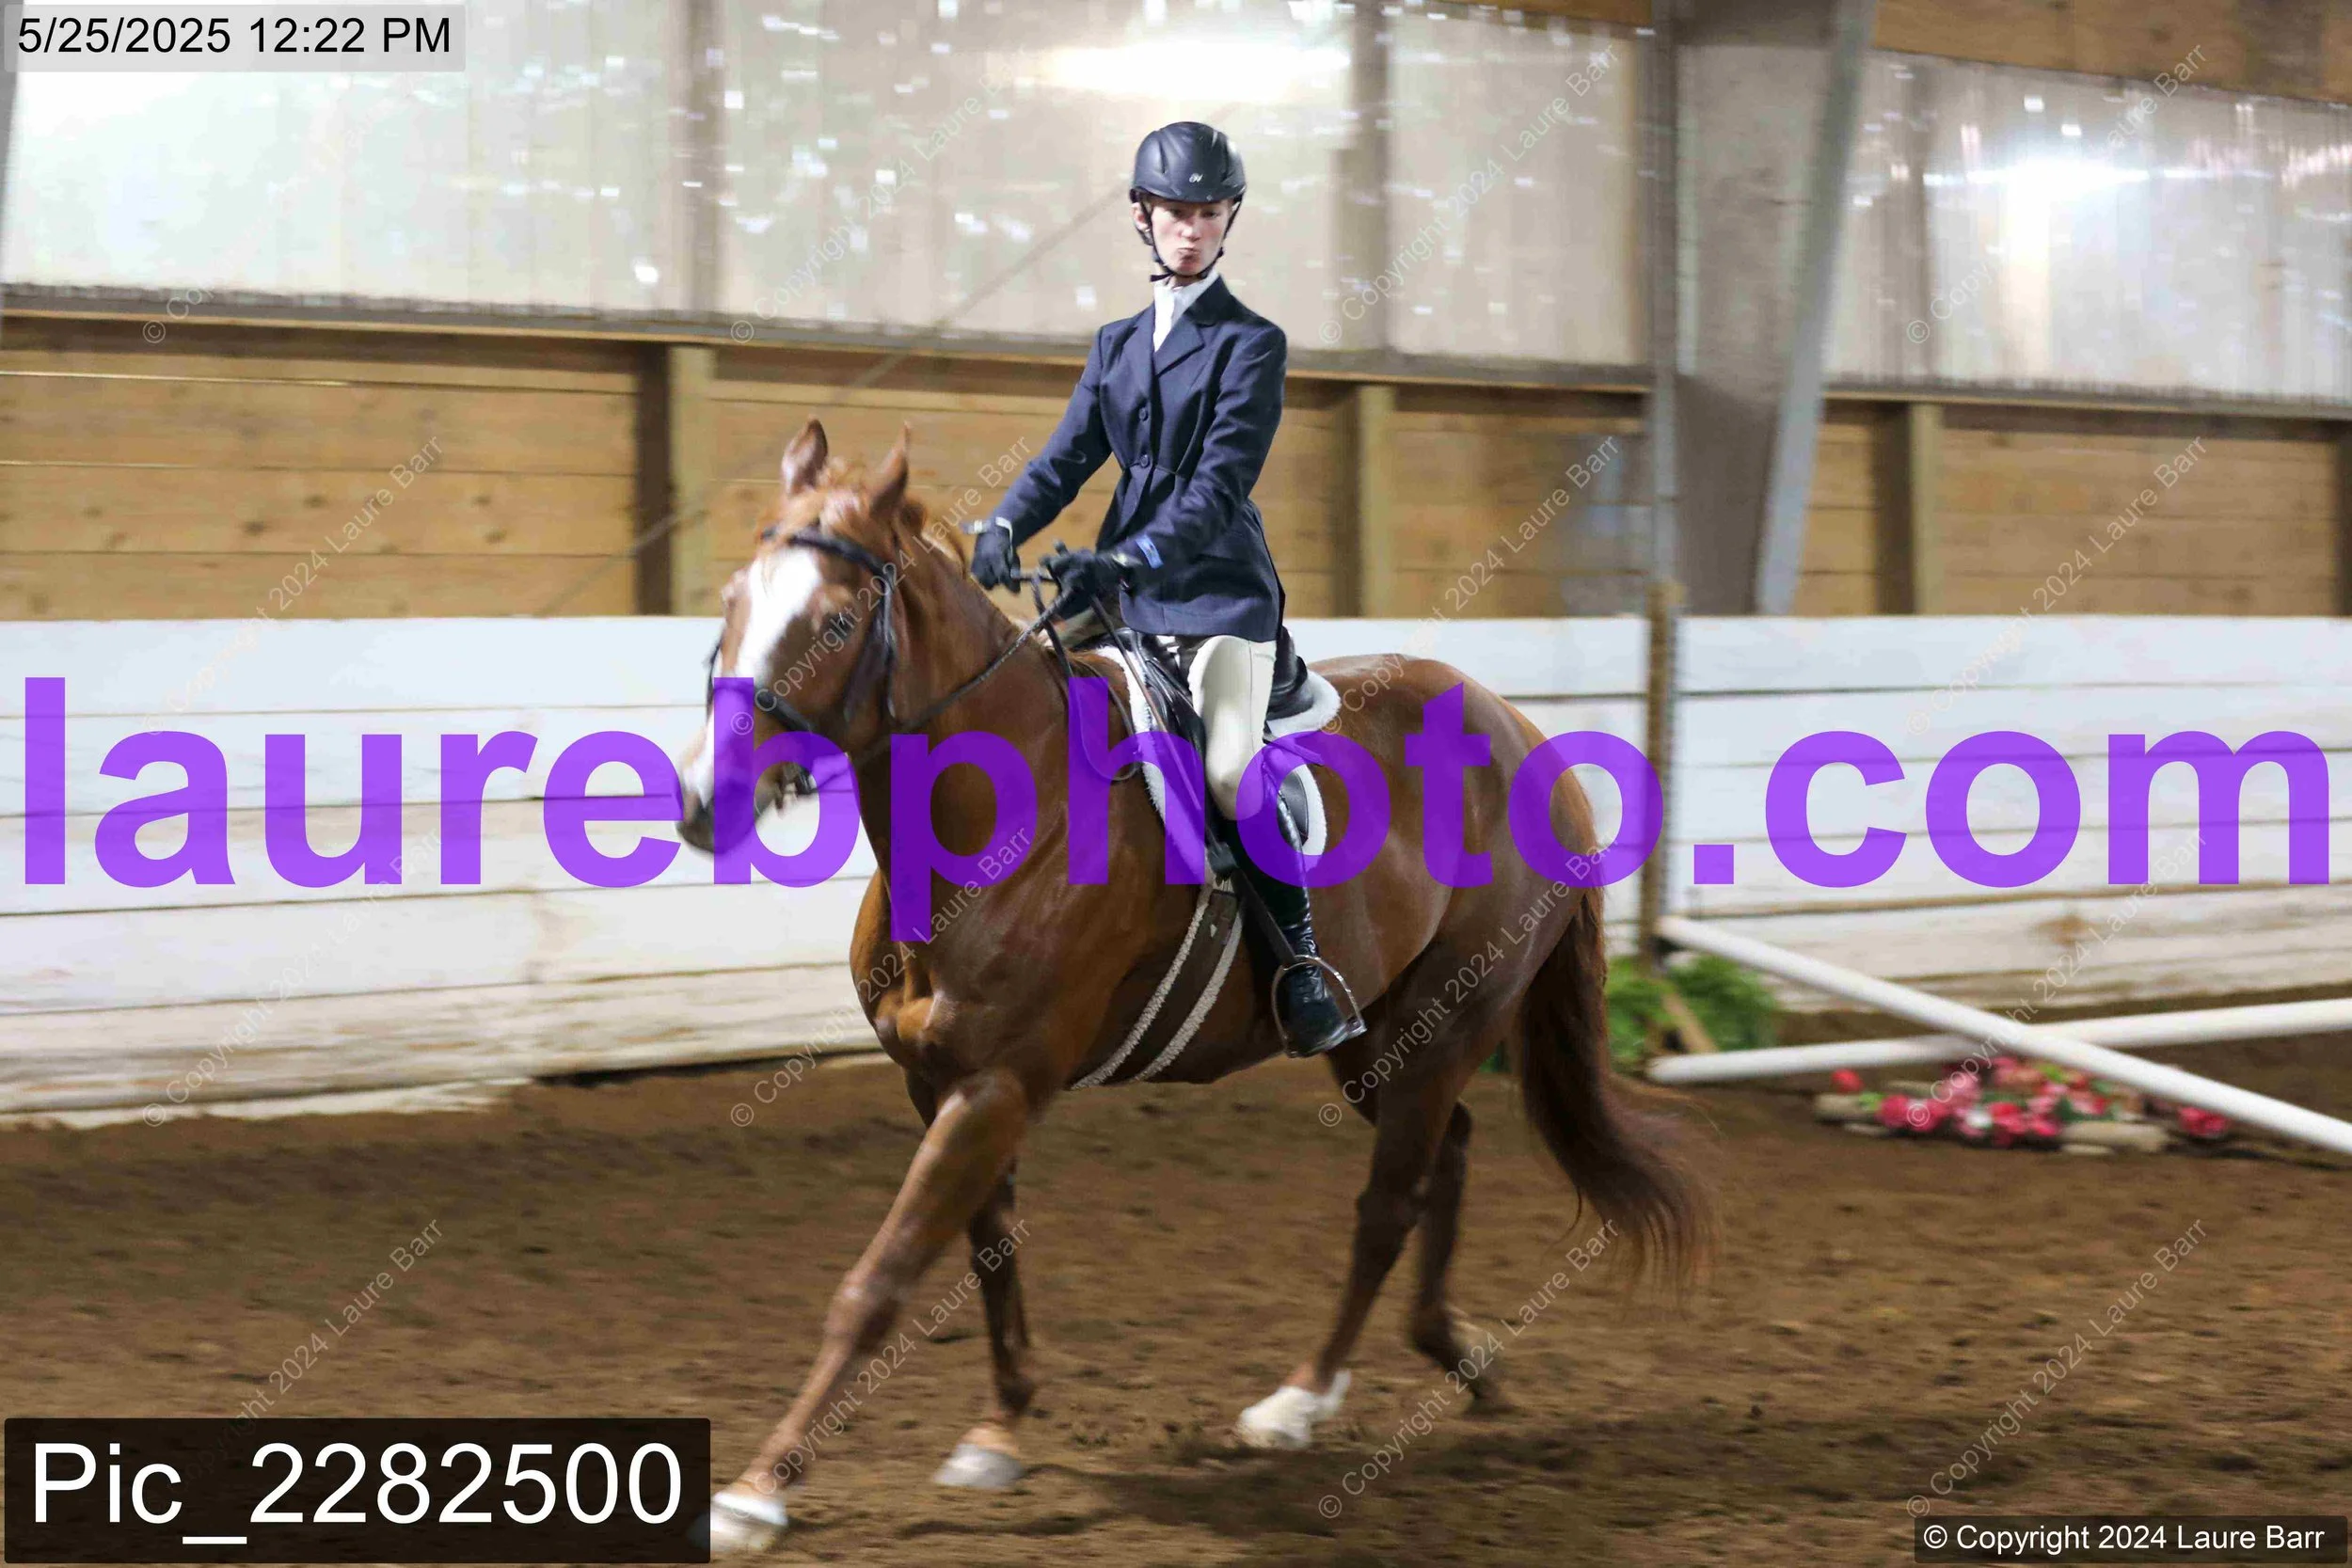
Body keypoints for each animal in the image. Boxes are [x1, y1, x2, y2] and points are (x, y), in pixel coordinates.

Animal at [673, 419, 1713, 1547]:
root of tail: (1524, 732)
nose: (703, 798)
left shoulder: (996, 1085)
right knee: (1449, 1150)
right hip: (1379, 1035)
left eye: (834, 618)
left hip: (1446, 1019)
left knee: (1389, 1200)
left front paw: (756, 1491)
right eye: (731, 599)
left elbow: (883, 1276)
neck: (996, 815)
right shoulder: (939, 1080)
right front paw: (1001, 1426)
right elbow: (988, 1246)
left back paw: (1298, 1400)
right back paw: (1458, 1354)